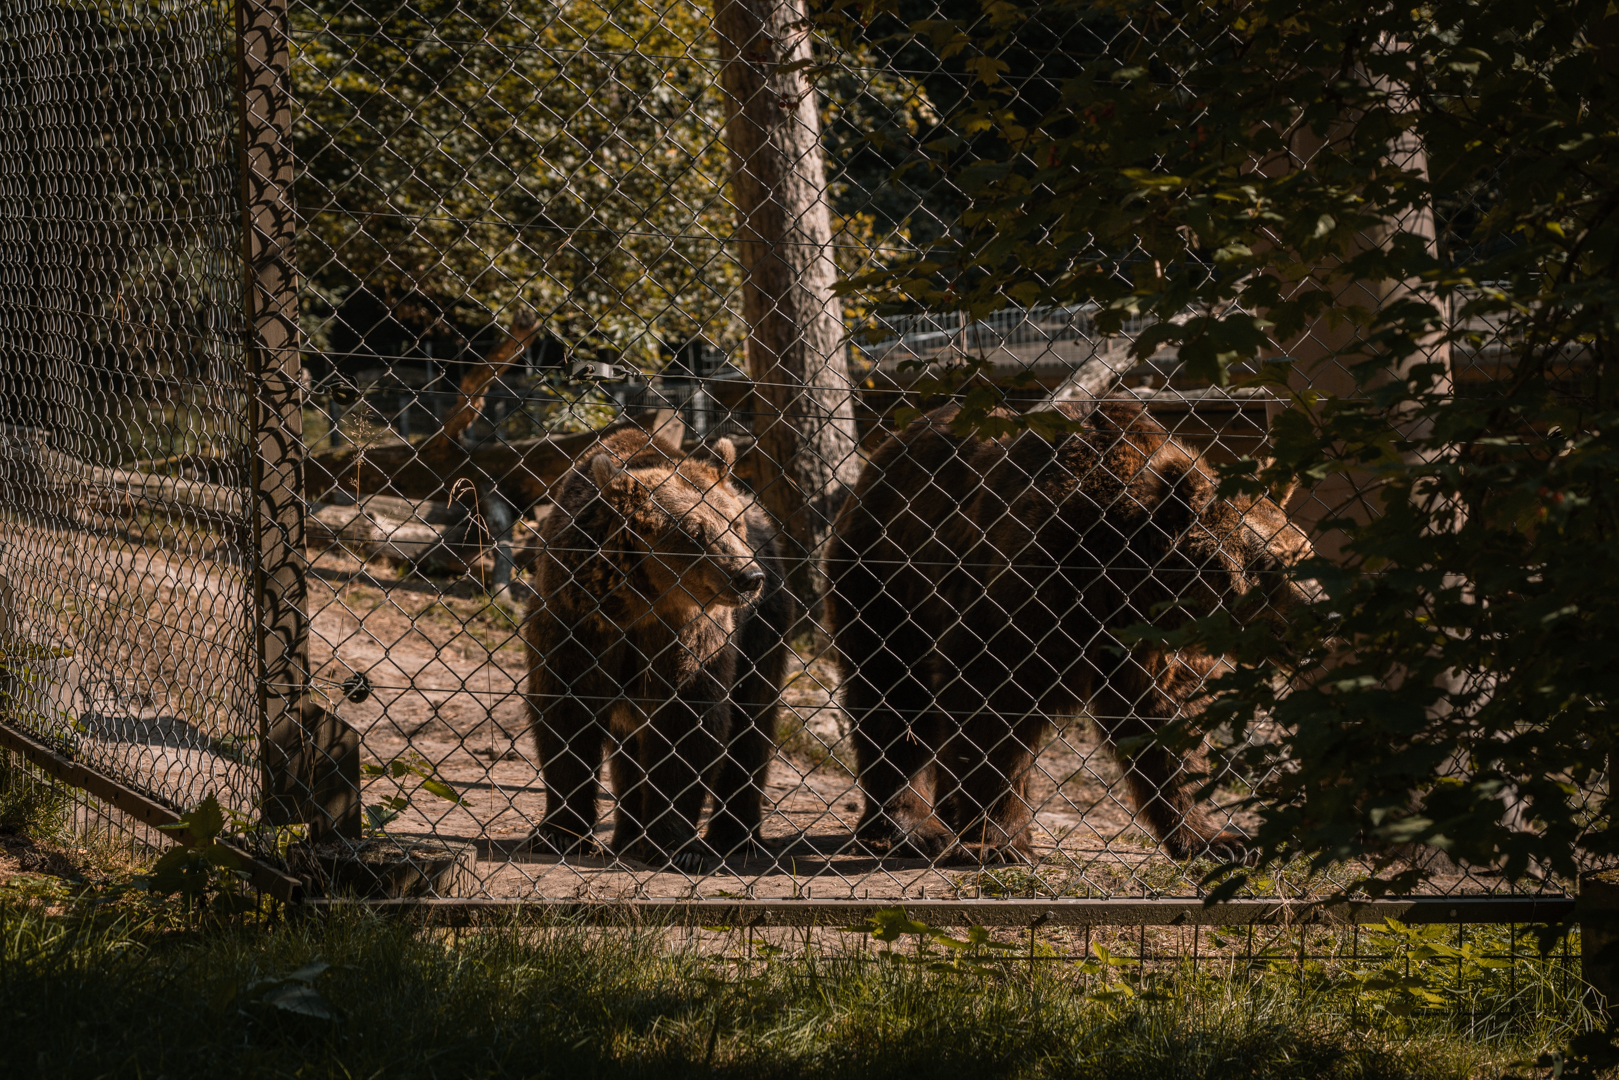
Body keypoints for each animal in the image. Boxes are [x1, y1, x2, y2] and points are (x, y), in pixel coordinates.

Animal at [522, 424, 794, 870]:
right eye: (695, 531)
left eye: (733, 523)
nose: (747, 577)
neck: (641, 602)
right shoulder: (577, 622)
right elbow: (565, 712)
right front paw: (558, 832)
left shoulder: (692, 636)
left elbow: (687, 723)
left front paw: (678, 845)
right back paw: (629, 835)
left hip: (764, 628)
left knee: (753, 721)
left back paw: (734, 835)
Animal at [823, 399, 1314, 865]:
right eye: (1271, 566)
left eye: (1305, 551)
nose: (1319, 625)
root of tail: (886, 448)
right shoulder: (1034, 588)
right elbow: (991, 702)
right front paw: (999, 842)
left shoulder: (1150, 648)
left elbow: (1166, 725)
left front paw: (1218, 839)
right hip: (885, 577)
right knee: (892, 693)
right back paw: (910, 826)